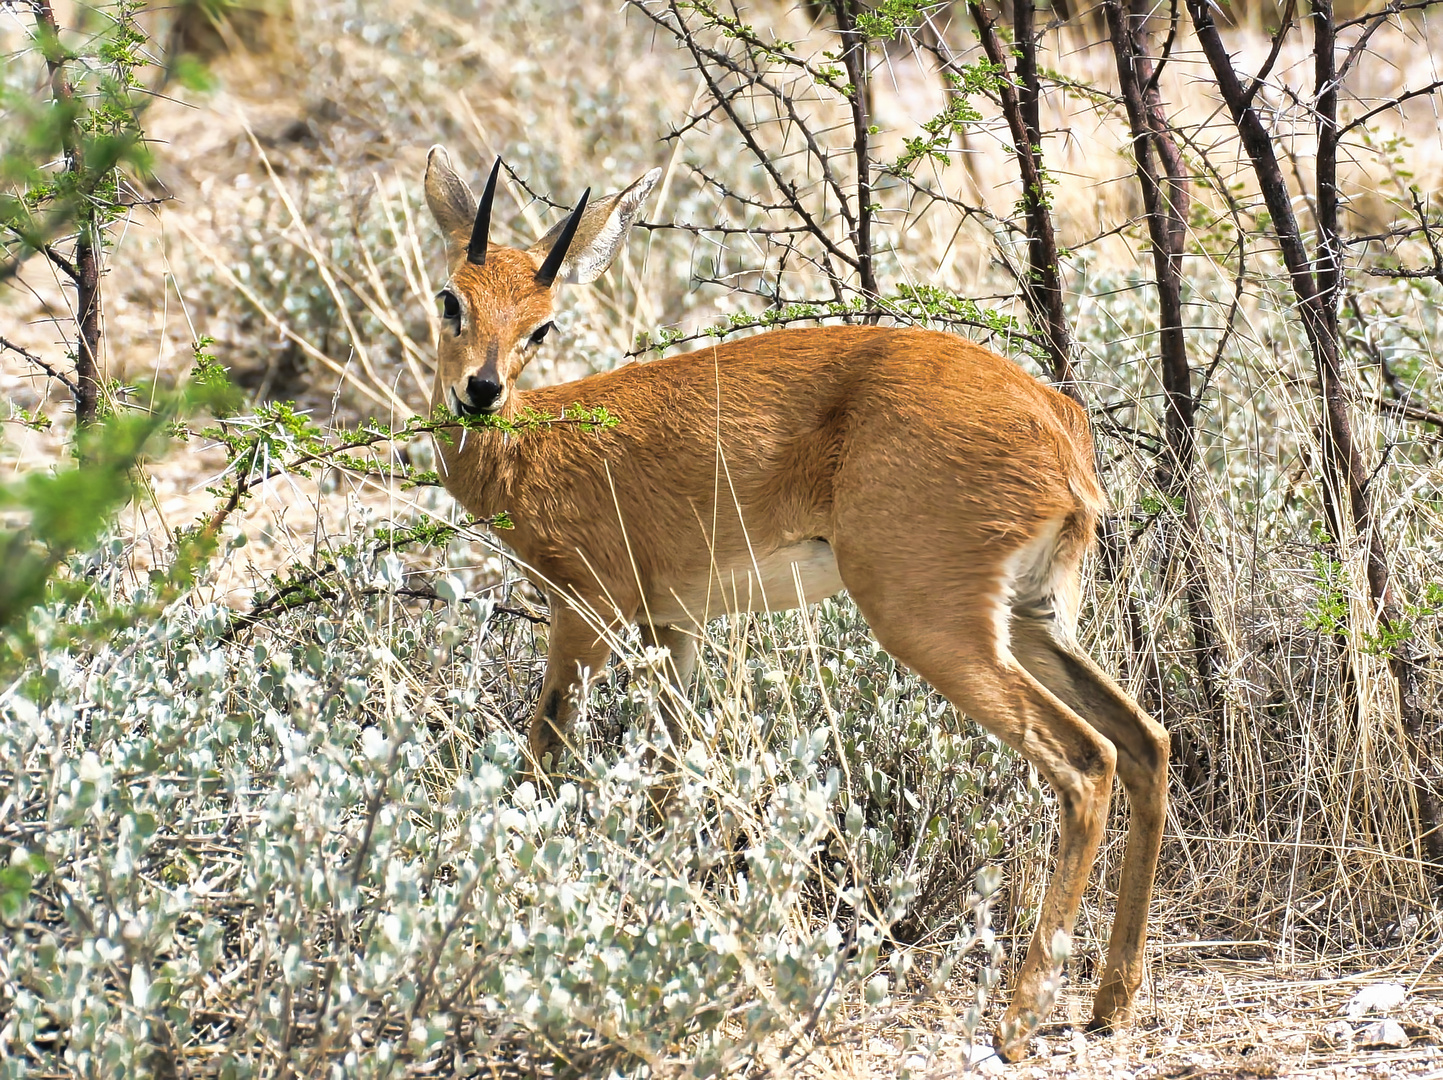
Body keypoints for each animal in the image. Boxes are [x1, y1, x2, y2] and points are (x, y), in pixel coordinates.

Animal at [421, 147, 1165, 1056]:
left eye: (542, 325)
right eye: (453, 297)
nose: (480, 390)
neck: (537, 445)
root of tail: (1057, 425)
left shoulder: (583, 613)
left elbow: (542, 751)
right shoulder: (674, 627)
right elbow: (674, 769)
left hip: (931, 625)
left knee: (1086, 762)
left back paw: (1018, 1019)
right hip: (1032, 623)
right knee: (1146, 740)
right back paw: (1111, 1001)